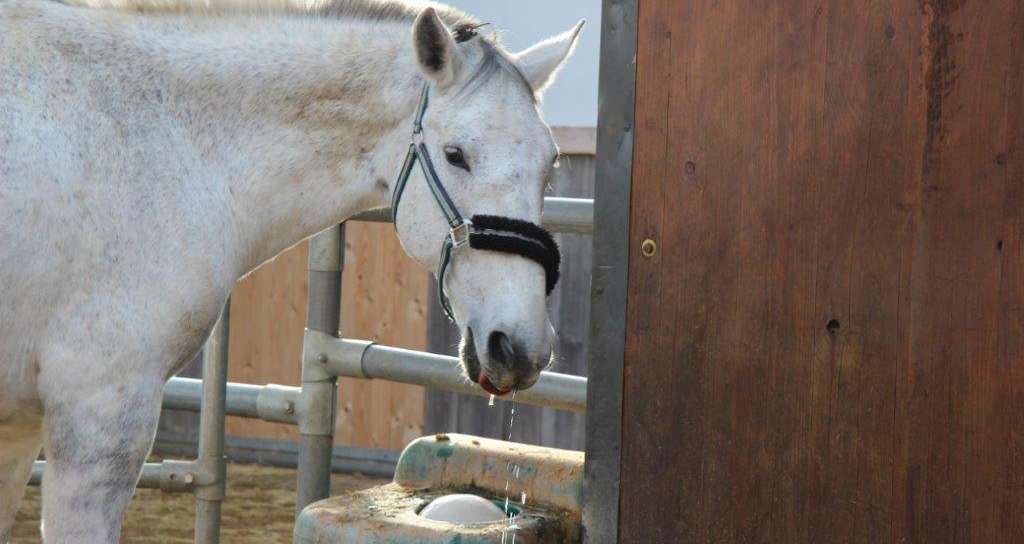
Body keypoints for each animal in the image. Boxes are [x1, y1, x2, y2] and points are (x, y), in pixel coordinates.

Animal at [0, 1, 581, 540]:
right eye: (456, 154)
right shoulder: (101, 410)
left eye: (550, 162)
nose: (519, 348)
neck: (167, 141)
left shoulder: (22, 426)